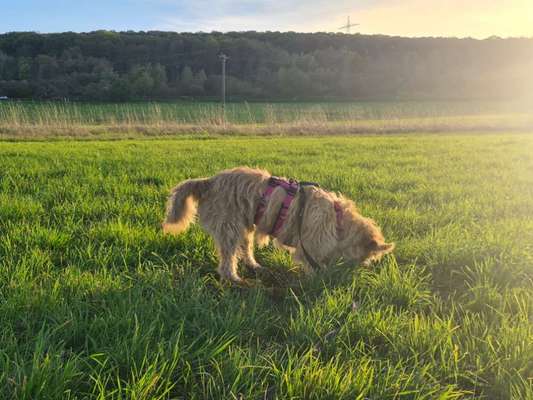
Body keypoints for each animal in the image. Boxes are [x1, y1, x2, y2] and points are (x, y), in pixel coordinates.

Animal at [164, 167, 392, 282]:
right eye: (368, 257)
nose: (359, 270)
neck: (338, 220)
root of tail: (210, 181)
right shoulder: (309, 248)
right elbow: (313, 265)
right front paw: (318, 279)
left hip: (245, 226)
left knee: (245, 249)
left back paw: (254, 266)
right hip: (230, 227)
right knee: (228, 258)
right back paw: (234, 278)